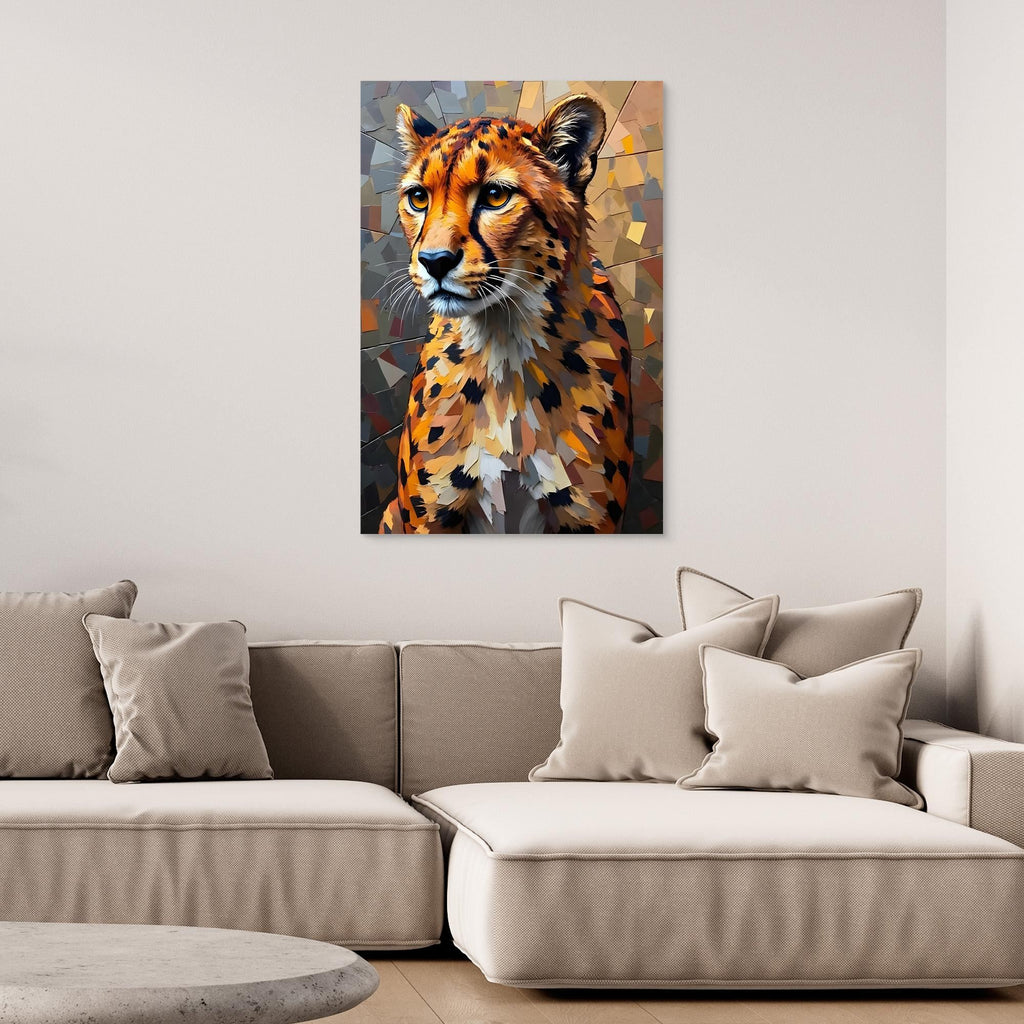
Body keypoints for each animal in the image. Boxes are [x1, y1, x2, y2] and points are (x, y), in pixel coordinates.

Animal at [378, 94, 633, 534]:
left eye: (496, 195)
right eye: (418, 198)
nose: (434, 261)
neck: (504, 339)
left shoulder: (589, 518)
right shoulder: (429, 517)